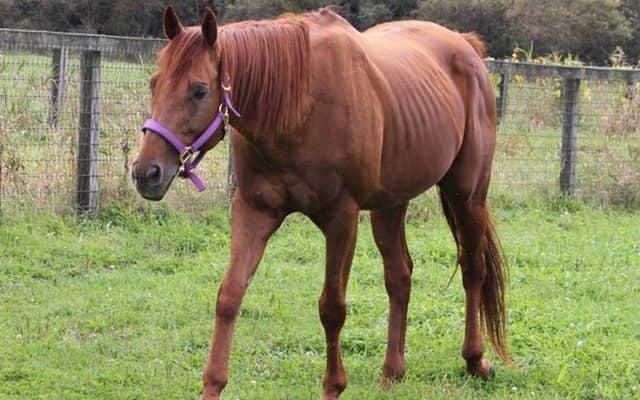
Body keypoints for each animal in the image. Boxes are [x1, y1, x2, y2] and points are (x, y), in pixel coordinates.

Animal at [132, 6, 510, 400]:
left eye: (199, 90)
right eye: (154, 83)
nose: (146, 172)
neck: (297, 107)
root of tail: (465, 45)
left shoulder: (341, 218)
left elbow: (332, 308)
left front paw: (333, 386)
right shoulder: (254, 211)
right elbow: (229, 296)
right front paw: (213, 384)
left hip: (467, 194)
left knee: (473, 269)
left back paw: (475, 361)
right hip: (390, 204)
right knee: (400, 275)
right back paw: (392, 372)